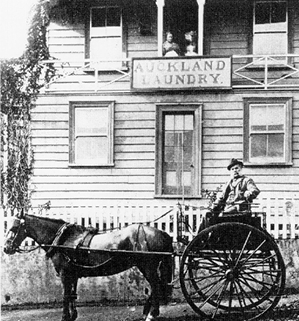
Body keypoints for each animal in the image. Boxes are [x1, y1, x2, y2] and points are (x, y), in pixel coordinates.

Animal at [3, 211, 175, 318]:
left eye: (14, 227)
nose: (6, 248)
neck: (63, 239)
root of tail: (164, 234)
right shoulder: (73, 274)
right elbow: (72, 294)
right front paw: (73, 315)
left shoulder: (65, 273)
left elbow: (66, 295)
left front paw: (65, 316)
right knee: (157, 285)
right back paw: (147, 311)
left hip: (148, 266)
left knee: (156, 285)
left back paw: (152, 313)